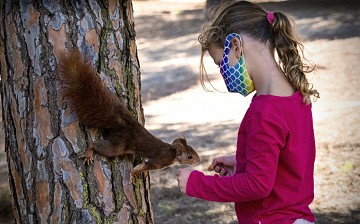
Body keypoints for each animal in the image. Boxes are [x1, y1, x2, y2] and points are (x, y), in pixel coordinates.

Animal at [57, 49, 201, 182]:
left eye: (193, 150)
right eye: (189, 156)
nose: (198, 160)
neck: (172, 153)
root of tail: (122, 123)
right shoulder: (158, 161)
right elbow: (142, 166)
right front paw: (133, 174)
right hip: (117, 146)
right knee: (97, 145)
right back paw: (88, 154)